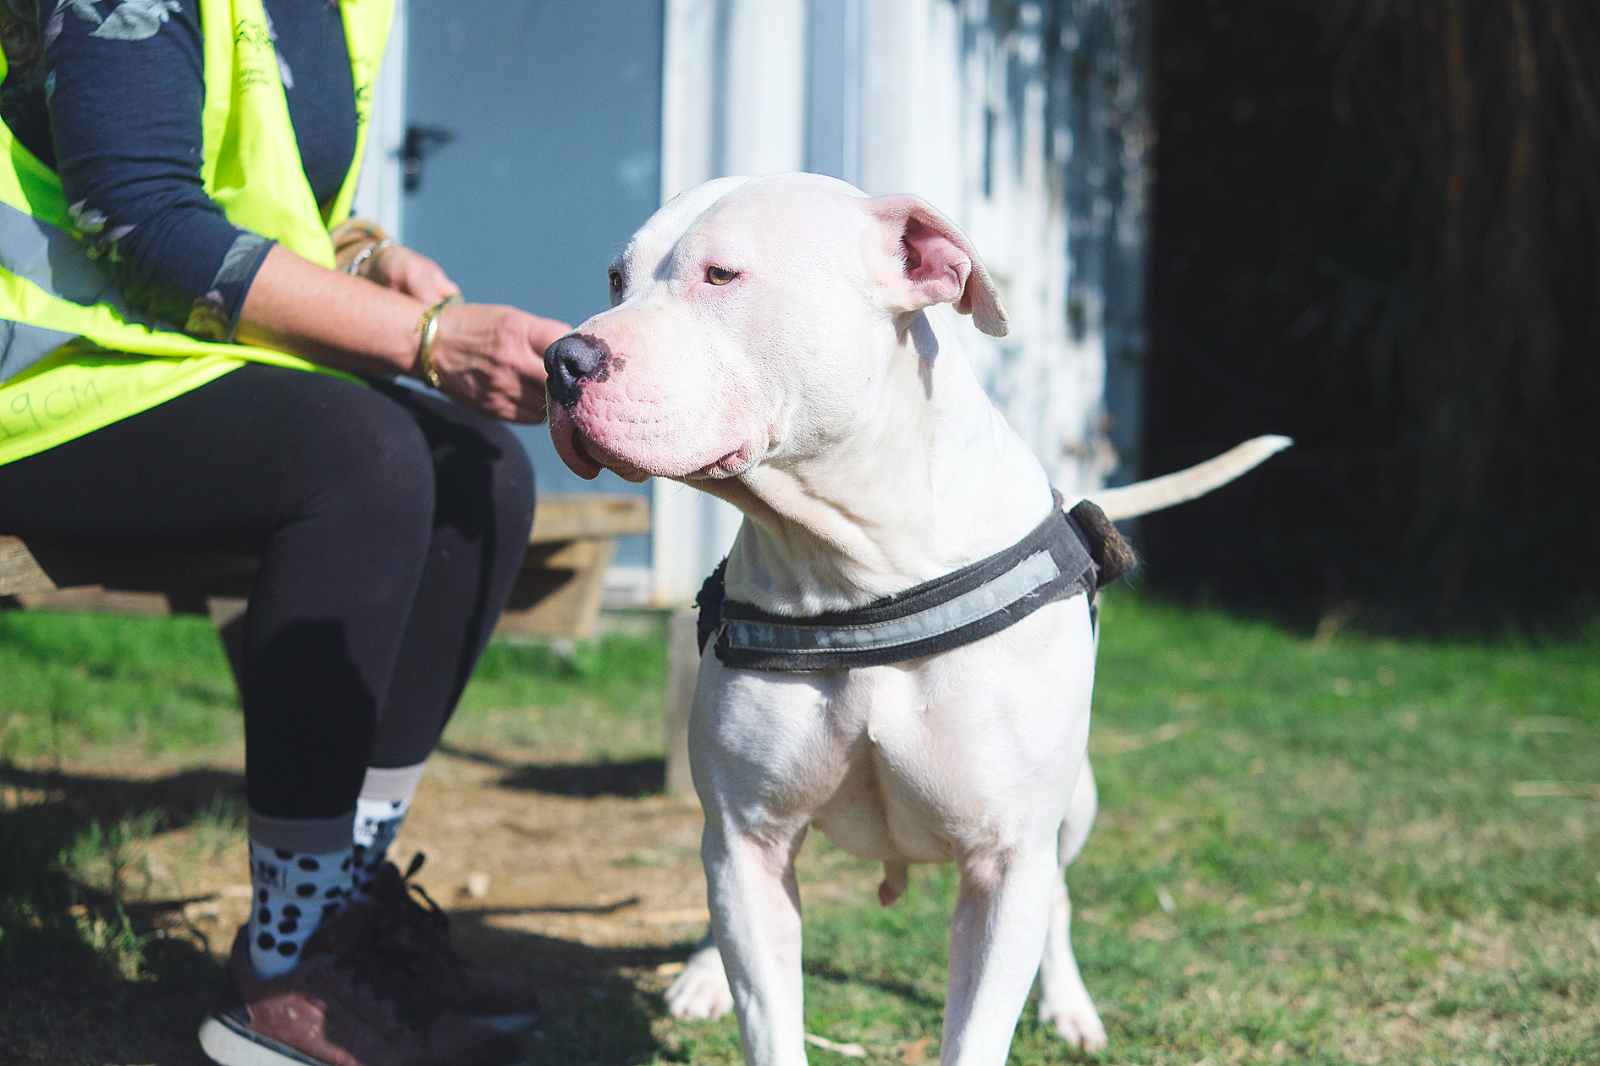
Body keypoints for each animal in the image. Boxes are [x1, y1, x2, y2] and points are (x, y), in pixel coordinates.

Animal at [544, 172, 1288, 1065]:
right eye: (616, 279)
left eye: (721, 274)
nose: (559, 360)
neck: (855, 570)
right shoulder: (749, 839)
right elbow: (768, 1012)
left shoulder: (1006, 861)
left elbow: (980, 1021)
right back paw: (700, 976)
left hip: (1072, 808)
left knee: (1059, 900)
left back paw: (1070, 1006)